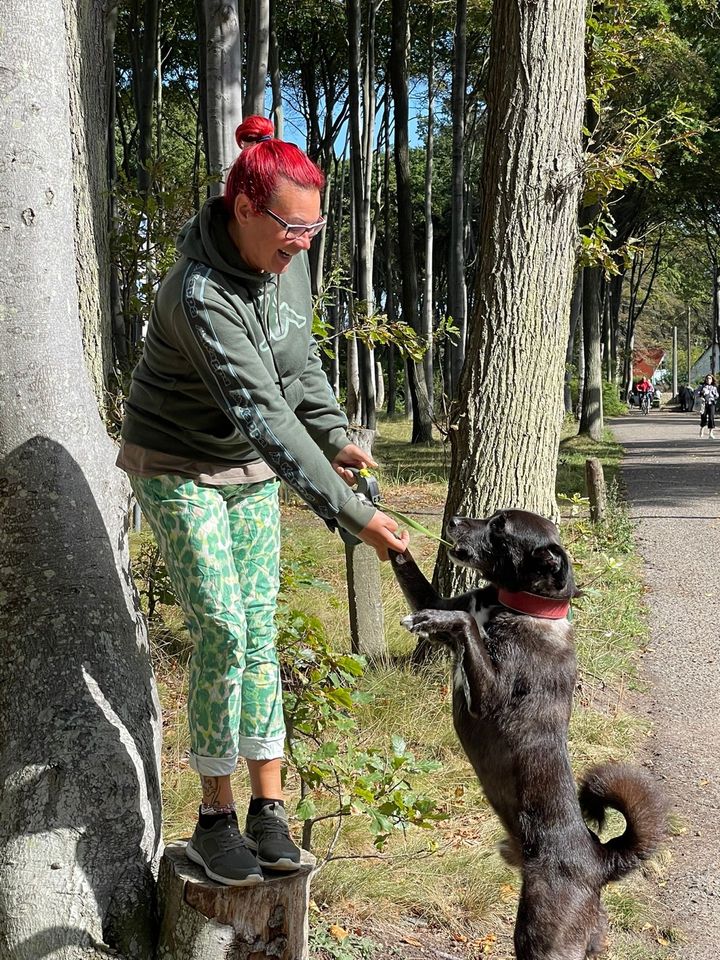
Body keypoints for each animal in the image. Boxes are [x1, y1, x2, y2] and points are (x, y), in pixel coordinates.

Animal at [390, 506, 668, 956]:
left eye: (500, 528)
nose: (454, 521)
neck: (524, 609)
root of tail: (599, 859)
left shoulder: (486, 701)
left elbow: (464, 622)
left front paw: (437, 620)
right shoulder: (438, 599)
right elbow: (424, 585)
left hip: (543, 937)